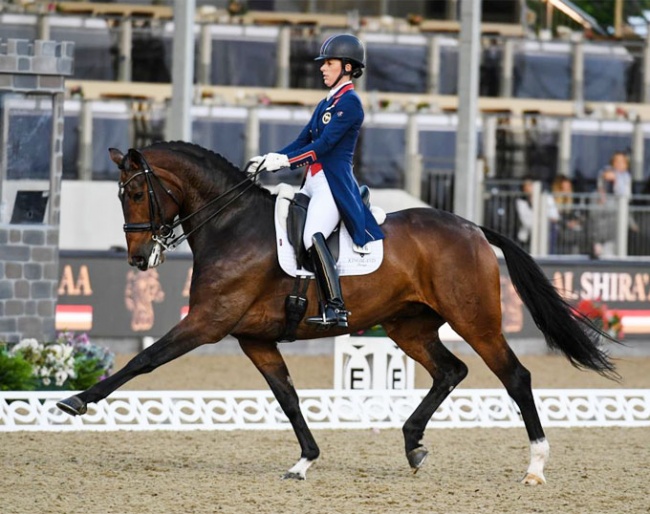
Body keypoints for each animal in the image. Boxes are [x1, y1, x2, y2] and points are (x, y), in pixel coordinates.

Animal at [54, 141, 612, 484]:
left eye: (134, 192)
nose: (137, 259)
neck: (232, 225)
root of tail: (473, 228)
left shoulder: (207, 323)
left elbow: (143, 361)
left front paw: (76, 401)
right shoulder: (253, 338)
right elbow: (288, 397)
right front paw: (304, 462)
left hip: (475, 320)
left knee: (515, 377)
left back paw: (535, 466)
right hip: (409, 327)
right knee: (450, 371)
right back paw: (412, 444)